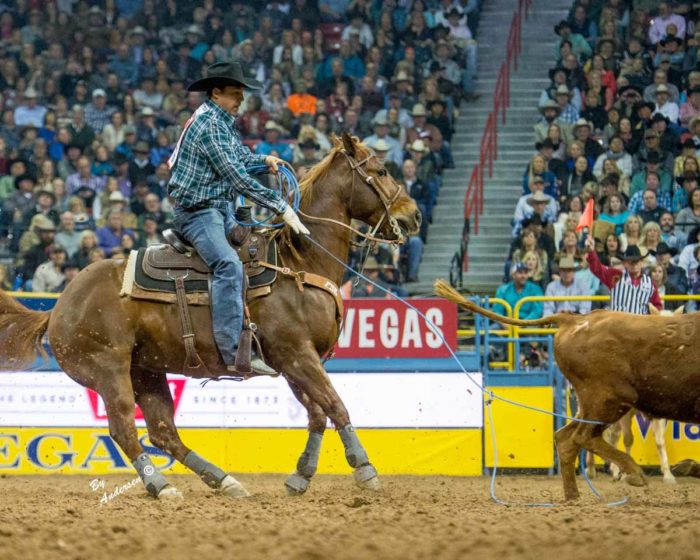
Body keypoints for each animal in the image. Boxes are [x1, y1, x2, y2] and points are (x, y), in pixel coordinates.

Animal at [0, 135, 422, 498]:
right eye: (382, 170)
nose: (414, 215)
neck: (299, 261)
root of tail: (58, 307)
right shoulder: (296, 354)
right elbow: (335, 405)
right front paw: (365, 469)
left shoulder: (293, 362)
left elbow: (317, 413)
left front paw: (301, 475)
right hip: (109, 369)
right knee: (124, 429)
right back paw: (161, 486)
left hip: (146, 370)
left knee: (163, 433)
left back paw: (224, 481)